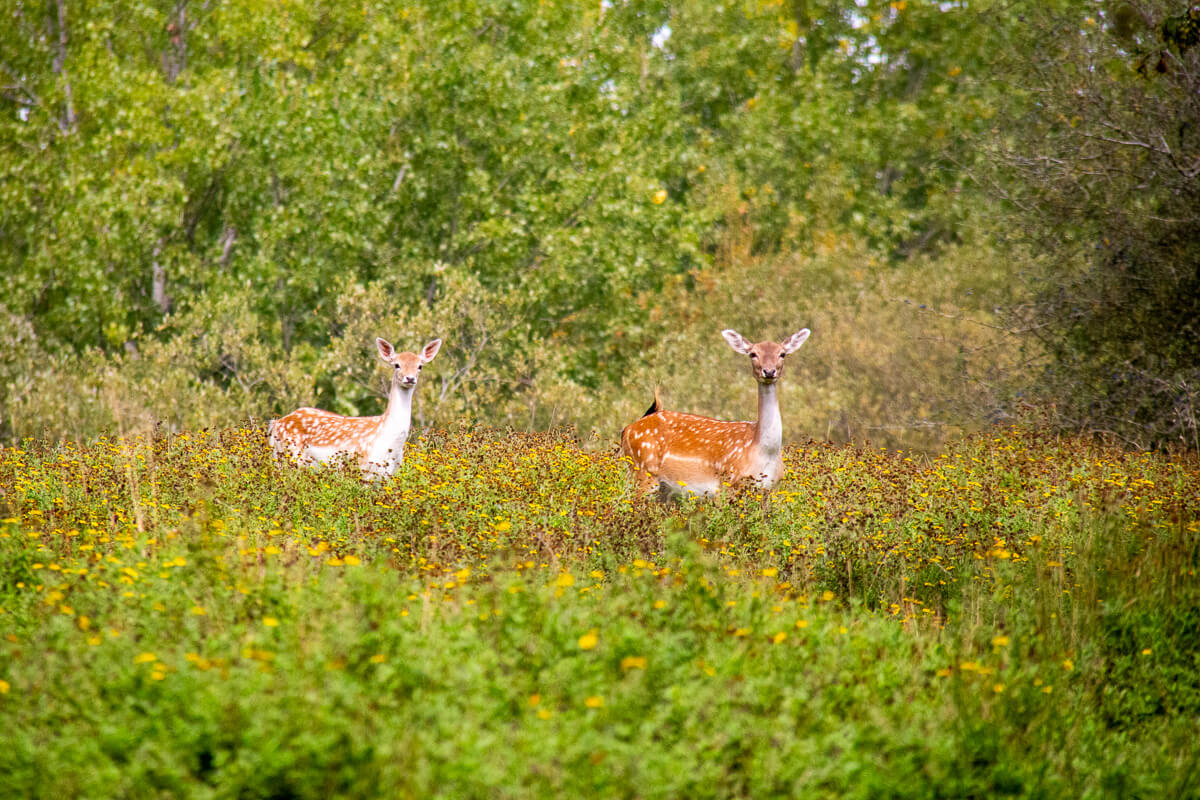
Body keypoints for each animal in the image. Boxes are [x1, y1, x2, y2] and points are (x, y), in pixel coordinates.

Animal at [268, 337, 442, 479]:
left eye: (420, 366)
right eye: (396, 365)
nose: (410, 378)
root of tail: (275, 424)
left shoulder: (386, 477)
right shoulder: (363, 469)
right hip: (287, 456)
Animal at [620, 328, 811, 499]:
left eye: (782, 354)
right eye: (753, 354)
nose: (769, 371)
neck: (763, 452)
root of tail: (627, 430)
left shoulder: (769, 489)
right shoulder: (727, 483)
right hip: (642, 471)